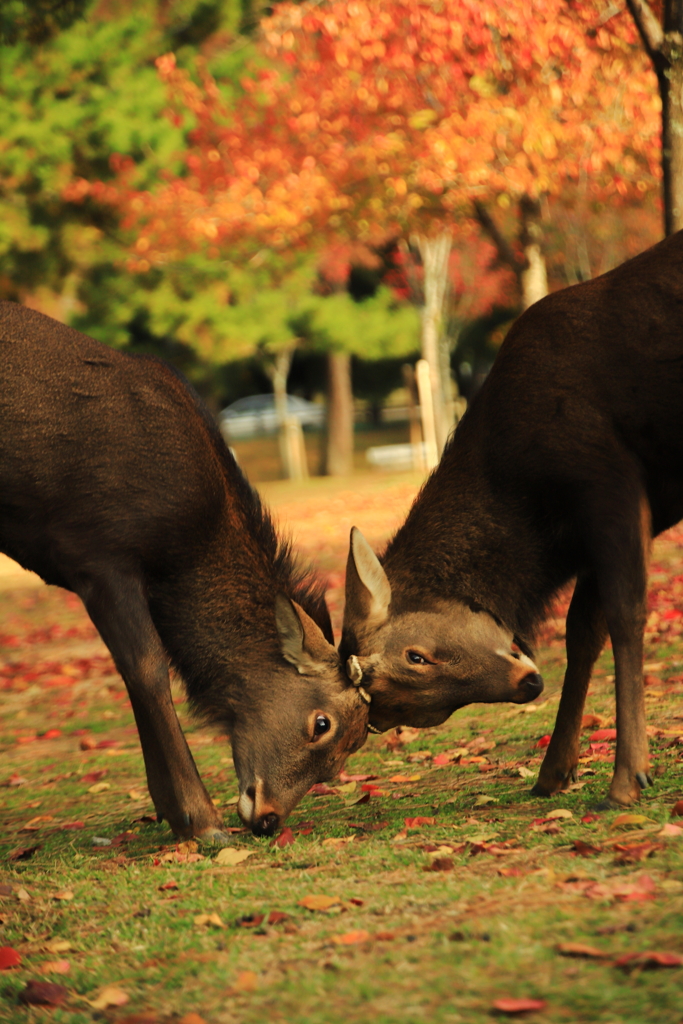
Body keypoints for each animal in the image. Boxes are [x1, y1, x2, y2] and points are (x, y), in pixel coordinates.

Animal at [0, 301, 368, 839]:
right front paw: (199, 818)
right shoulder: (99, 554)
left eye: (352, 748)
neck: (179, 553)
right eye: (322, 724)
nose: (268, 818)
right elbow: (147, 669)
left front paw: (167, 809)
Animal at [342, 230, 683, 806]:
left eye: (415, 656)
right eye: (410, 711)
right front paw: (554, 771)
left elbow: (625, 613)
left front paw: (627, 778)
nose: (528, 683)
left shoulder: (610, 479)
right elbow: (581, 631)